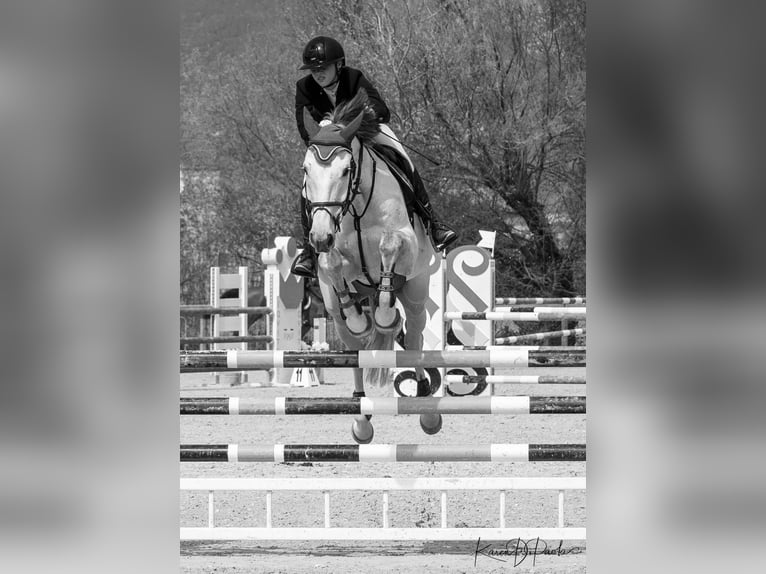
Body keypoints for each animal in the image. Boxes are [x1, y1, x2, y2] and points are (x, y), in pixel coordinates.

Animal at [302, 90, 441, 443]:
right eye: (306, 170)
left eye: (345, 170)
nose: (320, 236)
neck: (355, 206)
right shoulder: (330, 259)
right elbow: (332, 261)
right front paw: (362, 319)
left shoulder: (406, 242)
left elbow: (389, 244)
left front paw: (385, 316)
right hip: (334, 314)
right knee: (354, 347)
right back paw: (361, 418)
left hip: (416, 296)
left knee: (414, 341)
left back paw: (427, 410)